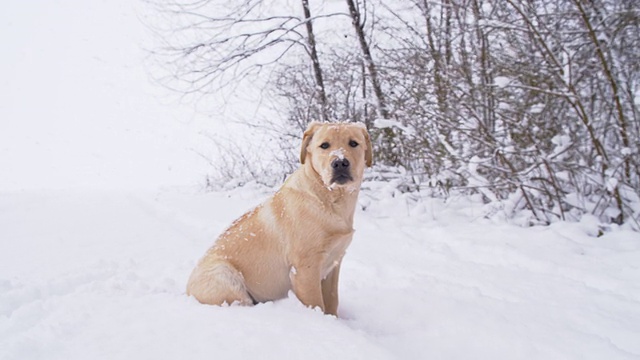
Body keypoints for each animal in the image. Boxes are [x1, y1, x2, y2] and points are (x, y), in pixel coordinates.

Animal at [185, 121, 372, 316]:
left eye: (353, 143)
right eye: (324, 145)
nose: (340, 162)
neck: (331, 201)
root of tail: (186, 291)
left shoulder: (334, 264)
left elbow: (332, 301)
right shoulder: (305, 269)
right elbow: (316, 305)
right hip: (227, 278)